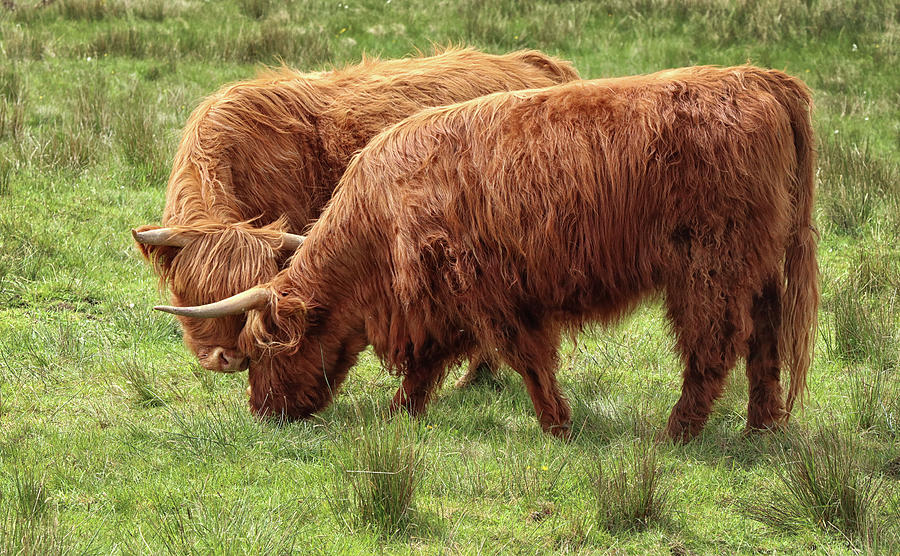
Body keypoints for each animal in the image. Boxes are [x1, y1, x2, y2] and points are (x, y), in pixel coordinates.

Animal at [158, 65, 820, 440]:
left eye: (261, 352)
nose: (261, 412)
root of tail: (757, 78)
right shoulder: (443, 300)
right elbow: (429, 364)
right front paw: (400, 413)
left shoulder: (486, 291)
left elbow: (525, 358)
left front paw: (557, 426)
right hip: (762, 263)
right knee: (765, 340)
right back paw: (762, 426)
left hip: (711, 263)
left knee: (716, 343)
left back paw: (676, 433)